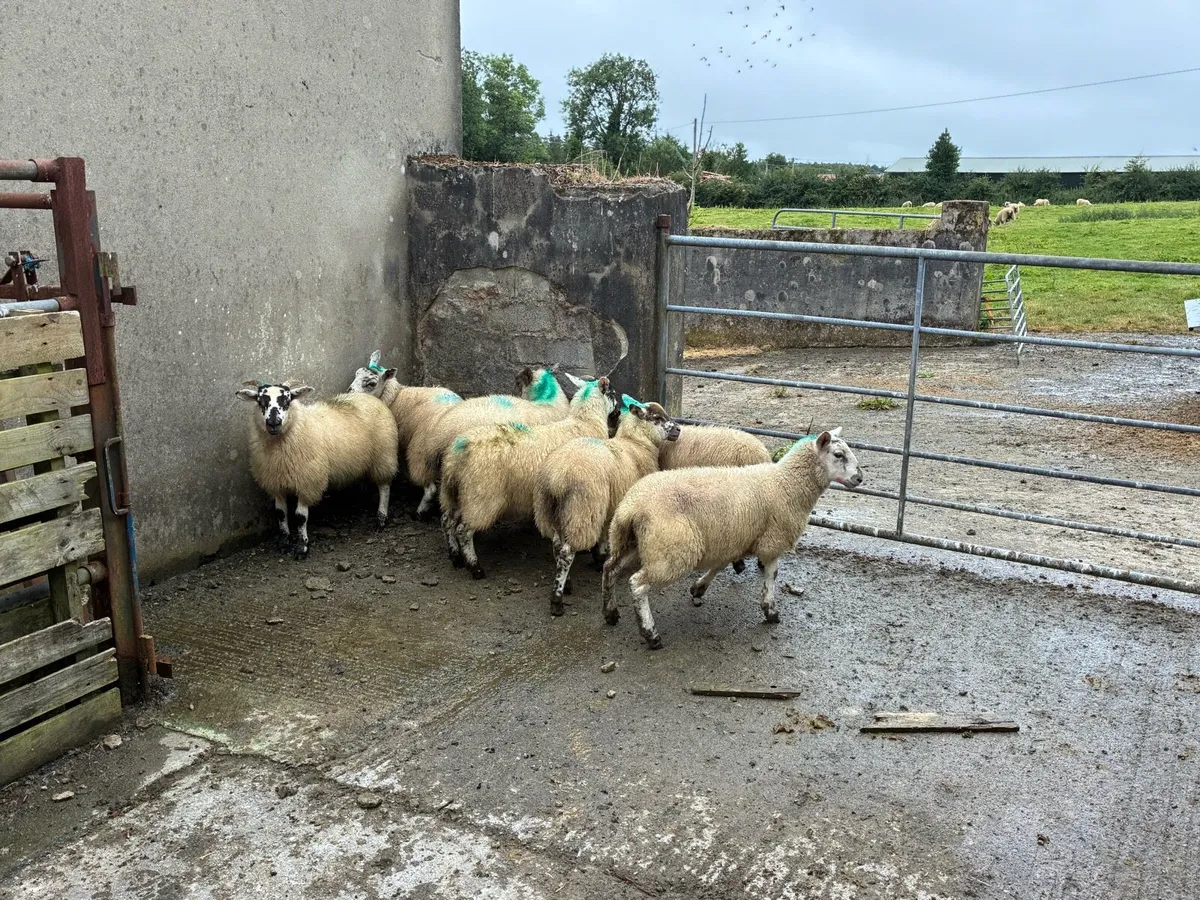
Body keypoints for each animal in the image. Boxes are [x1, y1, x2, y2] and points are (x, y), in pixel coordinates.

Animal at [236, 381, 399, 559]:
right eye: (260, 401)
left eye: (288, 400)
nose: (273, 423)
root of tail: (369, 397)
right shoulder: (276, 483)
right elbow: (280, 513)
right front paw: (284, 542)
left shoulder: (307, 482)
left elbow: (300, 517)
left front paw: (302, 547)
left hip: (384, 456)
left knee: (384, 487)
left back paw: (381, 518)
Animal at [439, 377, 618, 580]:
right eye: (612, 393)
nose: (619, 412)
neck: (585, 423)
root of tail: (456, 454)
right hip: (480, 497)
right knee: (463, 531)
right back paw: (475, 567)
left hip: (455, 493)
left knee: (446, 520)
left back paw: (455, 557)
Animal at [533, 398, 680, 615]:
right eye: (657, 417)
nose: (679, 429)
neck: (636, 443)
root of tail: (556, 477)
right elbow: (605, 532)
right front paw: (602, 555)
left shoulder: (609, 503)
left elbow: (604, 530)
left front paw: (599, 555)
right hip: (583, 509)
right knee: (567, 552)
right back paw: (557, 599)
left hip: (555, 512)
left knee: (557, 547)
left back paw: (566, 583)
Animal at [601, 428, 863, 648]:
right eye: (839, 454)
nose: (860, 478)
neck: (786, 484)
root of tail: (632, 507)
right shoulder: (772, 541)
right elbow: (771, 576)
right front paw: (770, 611)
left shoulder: (733, 537)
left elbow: (721, 564)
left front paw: (699, 588)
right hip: (671, 550)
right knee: (637, 584)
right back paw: (650, 634)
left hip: (632, 542)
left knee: (610, 568)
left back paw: (610, 613)